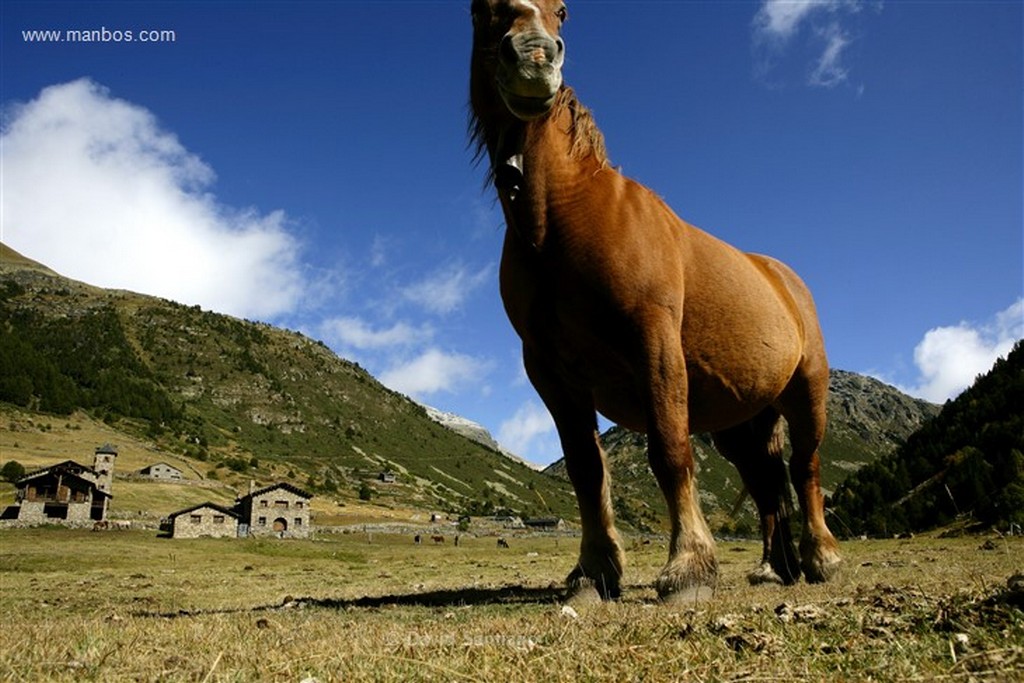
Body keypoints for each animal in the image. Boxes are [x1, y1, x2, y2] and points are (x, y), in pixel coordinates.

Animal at [471, 0, 839, 602]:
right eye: (480, 10)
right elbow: (586, 471)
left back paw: (822, 558)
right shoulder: (549, 372)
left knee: (806, 468)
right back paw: (774, 567)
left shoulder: (654, 343)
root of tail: (784, 278)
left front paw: (688, 568)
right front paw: (595, 570)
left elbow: (669, 451)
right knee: (767, 484)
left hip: (806, 389)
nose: (534, 56)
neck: (567, 216)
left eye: (563, 12)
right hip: (741, 421)